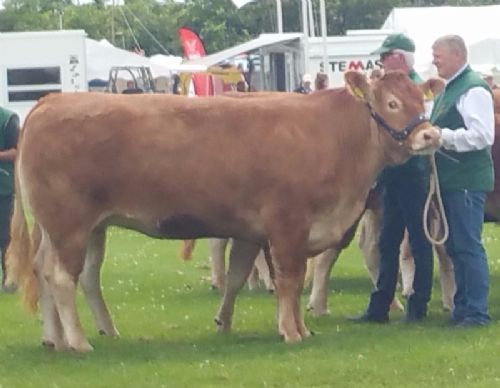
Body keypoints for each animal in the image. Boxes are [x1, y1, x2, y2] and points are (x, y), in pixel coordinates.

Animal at [6, 70, 442, 352]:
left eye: (422, 100)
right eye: (391, 102)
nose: (430, 134)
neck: (333, 136)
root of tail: (51, 101)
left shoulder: (256, 231)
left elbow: (244, 276)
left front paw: (294, 327)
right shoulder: (288, 226)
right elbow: (289, 281)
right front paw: (292, 332)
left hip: (71, 228)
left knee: (49, 271)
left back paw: (55, 338)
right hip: (69, 226)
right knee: (61, 277)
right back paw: (78, 342)